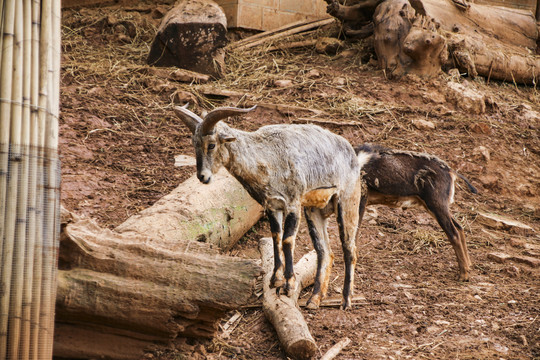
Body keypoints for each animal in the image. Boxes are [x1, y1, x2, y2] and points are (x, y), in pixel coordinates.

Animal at [358, 143, 476, 282]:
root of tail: (450, 171)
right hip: (436, 206)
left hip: (436, 205)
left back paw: (463, 275)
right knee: (459, 227)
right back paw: (469, 266)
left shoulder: (361, 200)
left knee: (454, 233)